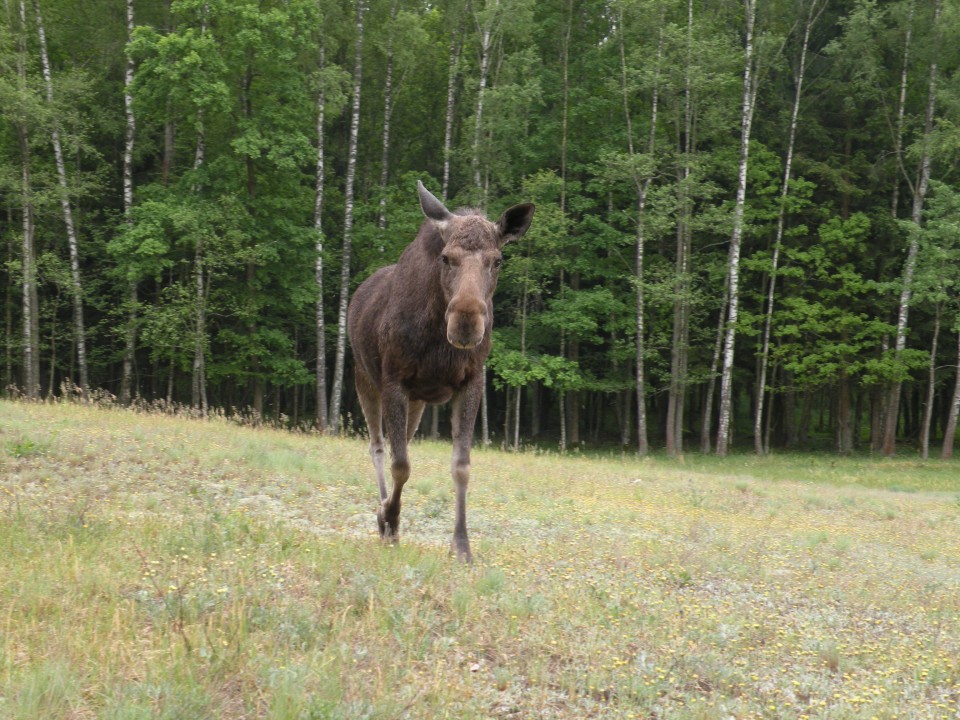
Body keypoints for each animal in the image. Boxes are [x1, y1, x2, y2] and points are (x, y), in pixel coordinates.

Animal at [348, 181, 536, 564]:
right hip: (365, 379)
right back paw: (383, 513)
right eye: (446, 258)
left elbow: (460, 465)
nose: (466, 322)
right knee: (378, 447)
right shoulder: (394, 382)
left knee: (399, 441)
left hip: (417, 401)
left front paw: (461, 545)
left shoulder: (470, 382)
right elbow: (401, 464)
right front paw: (389, 519)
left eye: (497, 260)